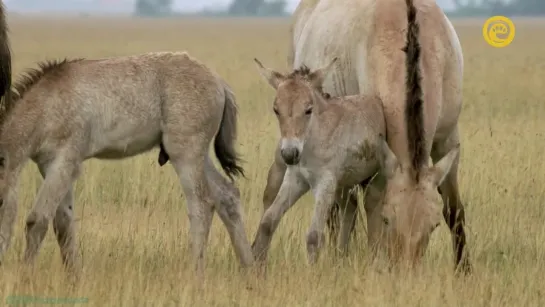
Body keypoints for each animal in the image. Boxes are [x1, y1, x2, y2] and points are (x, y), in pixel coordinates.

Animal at [282, 0, 470, 274]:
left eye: (433, 225)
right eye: (388, 219)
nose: (407, 272)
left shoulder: (447, 141)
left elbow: (453, 209)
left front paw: (463, 270)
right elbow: (371, 202)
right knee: (340, 207)